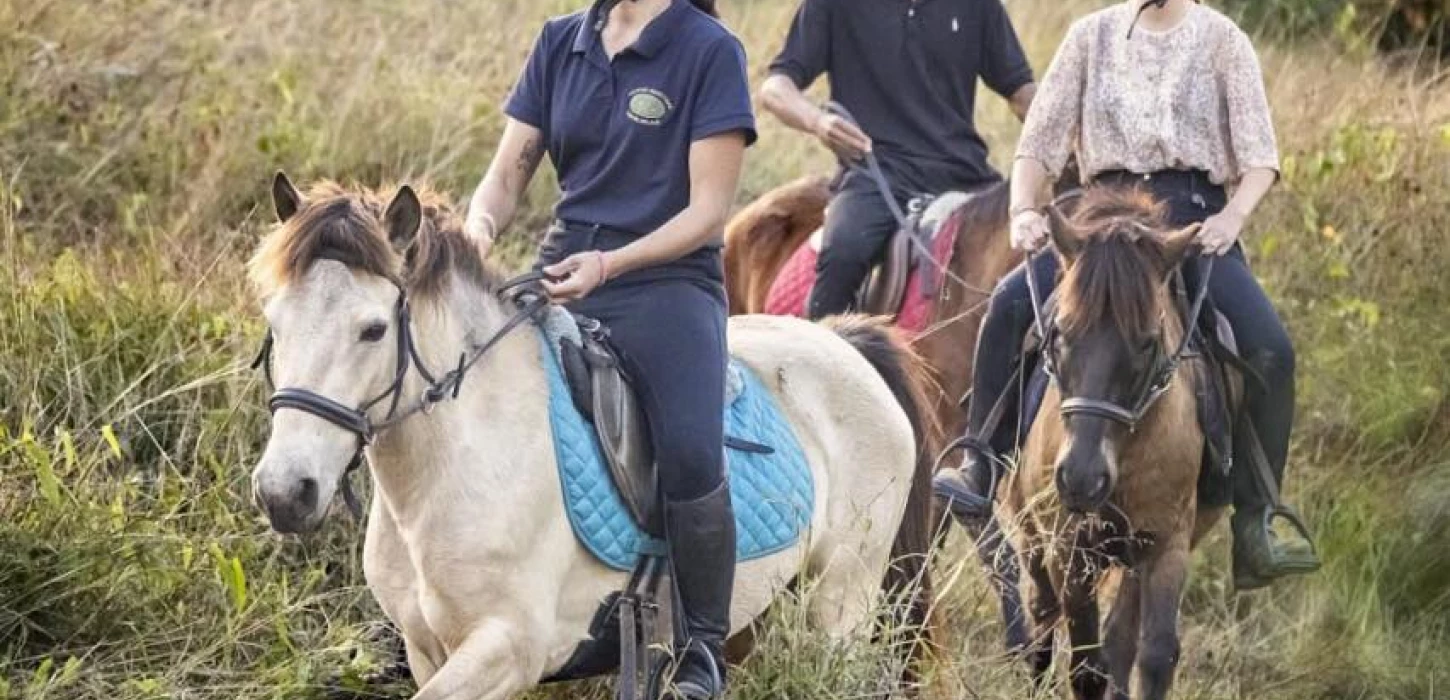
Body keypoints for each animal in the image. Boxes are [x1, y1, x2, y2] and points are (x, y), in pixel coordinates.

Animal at [245, 176, 933, 700]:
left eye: (373, 329)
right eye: (274, 323)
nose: (285, 492)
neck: (456, 465)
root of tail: (843, 341)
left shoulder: (507, 648)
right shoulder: (425, 646)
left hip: (841, 604)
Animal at [1003, 188, 1229, 700]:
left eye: (1146, 342)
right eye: (1061, 332)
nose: (1081, 480)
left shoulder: (1167, 543)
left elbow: (1155, 654)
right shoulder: (1069, 550)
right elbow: (1087, 668)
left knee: (1121, 635)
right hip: (1031, 534)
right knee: (1042, 617)